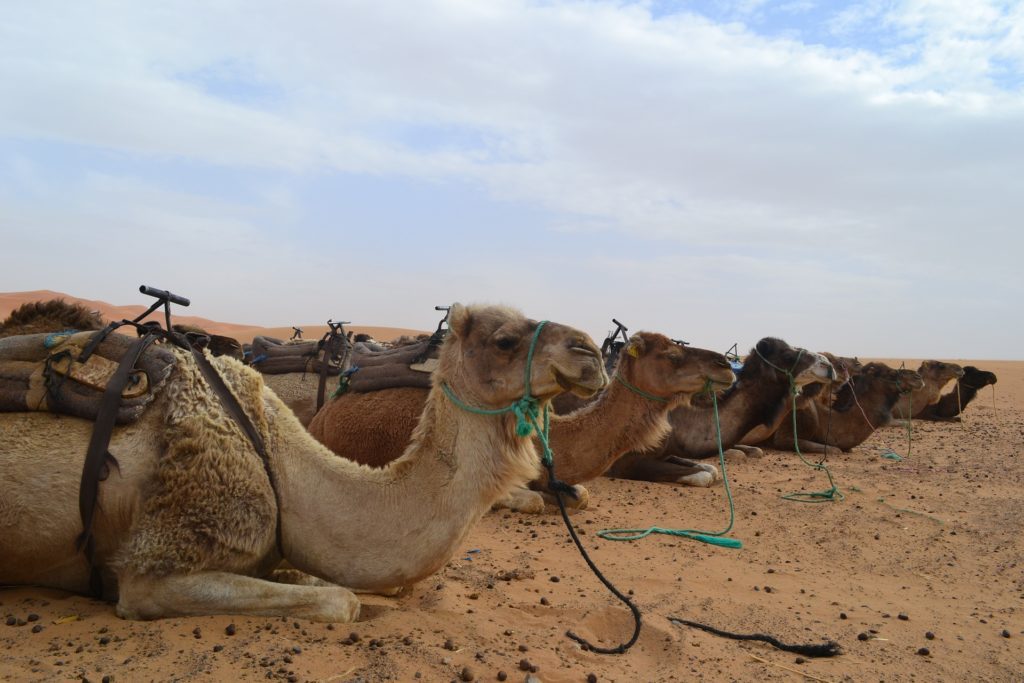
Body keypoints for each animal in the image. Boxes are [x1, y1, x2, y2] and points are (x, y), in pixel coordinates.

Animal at [602, 337, 835, 481]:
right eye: (787, 355)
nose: (828, 365)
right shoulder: (627, 461)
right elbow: (705, 475)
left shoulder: (667, 452)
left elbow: (710, 469)